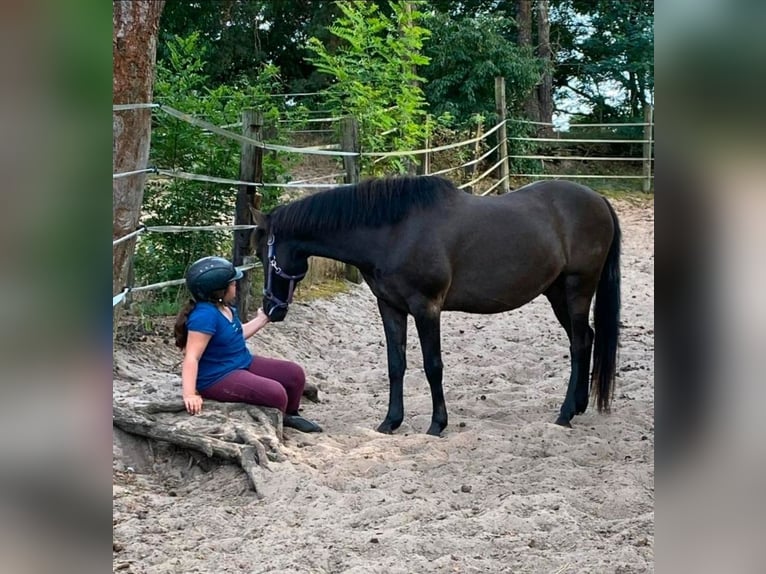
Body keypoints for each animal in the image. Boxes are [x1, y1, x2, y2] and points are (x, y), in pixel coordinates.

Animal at [250, 175, 620, 435]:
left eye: (264, 255)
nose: (271, 309)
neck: (394, 232)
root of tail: (598, 200)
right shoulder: (390, 307)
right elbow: (396, 364)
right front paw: (390, 422)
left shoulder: (426, 307)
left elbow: (433, 366)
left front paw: (437, 424)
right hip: (557, 293)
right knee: (585, 339)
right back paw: (578, 406)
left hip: (577, 289)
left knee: (578, 344)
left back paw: (564, 414)